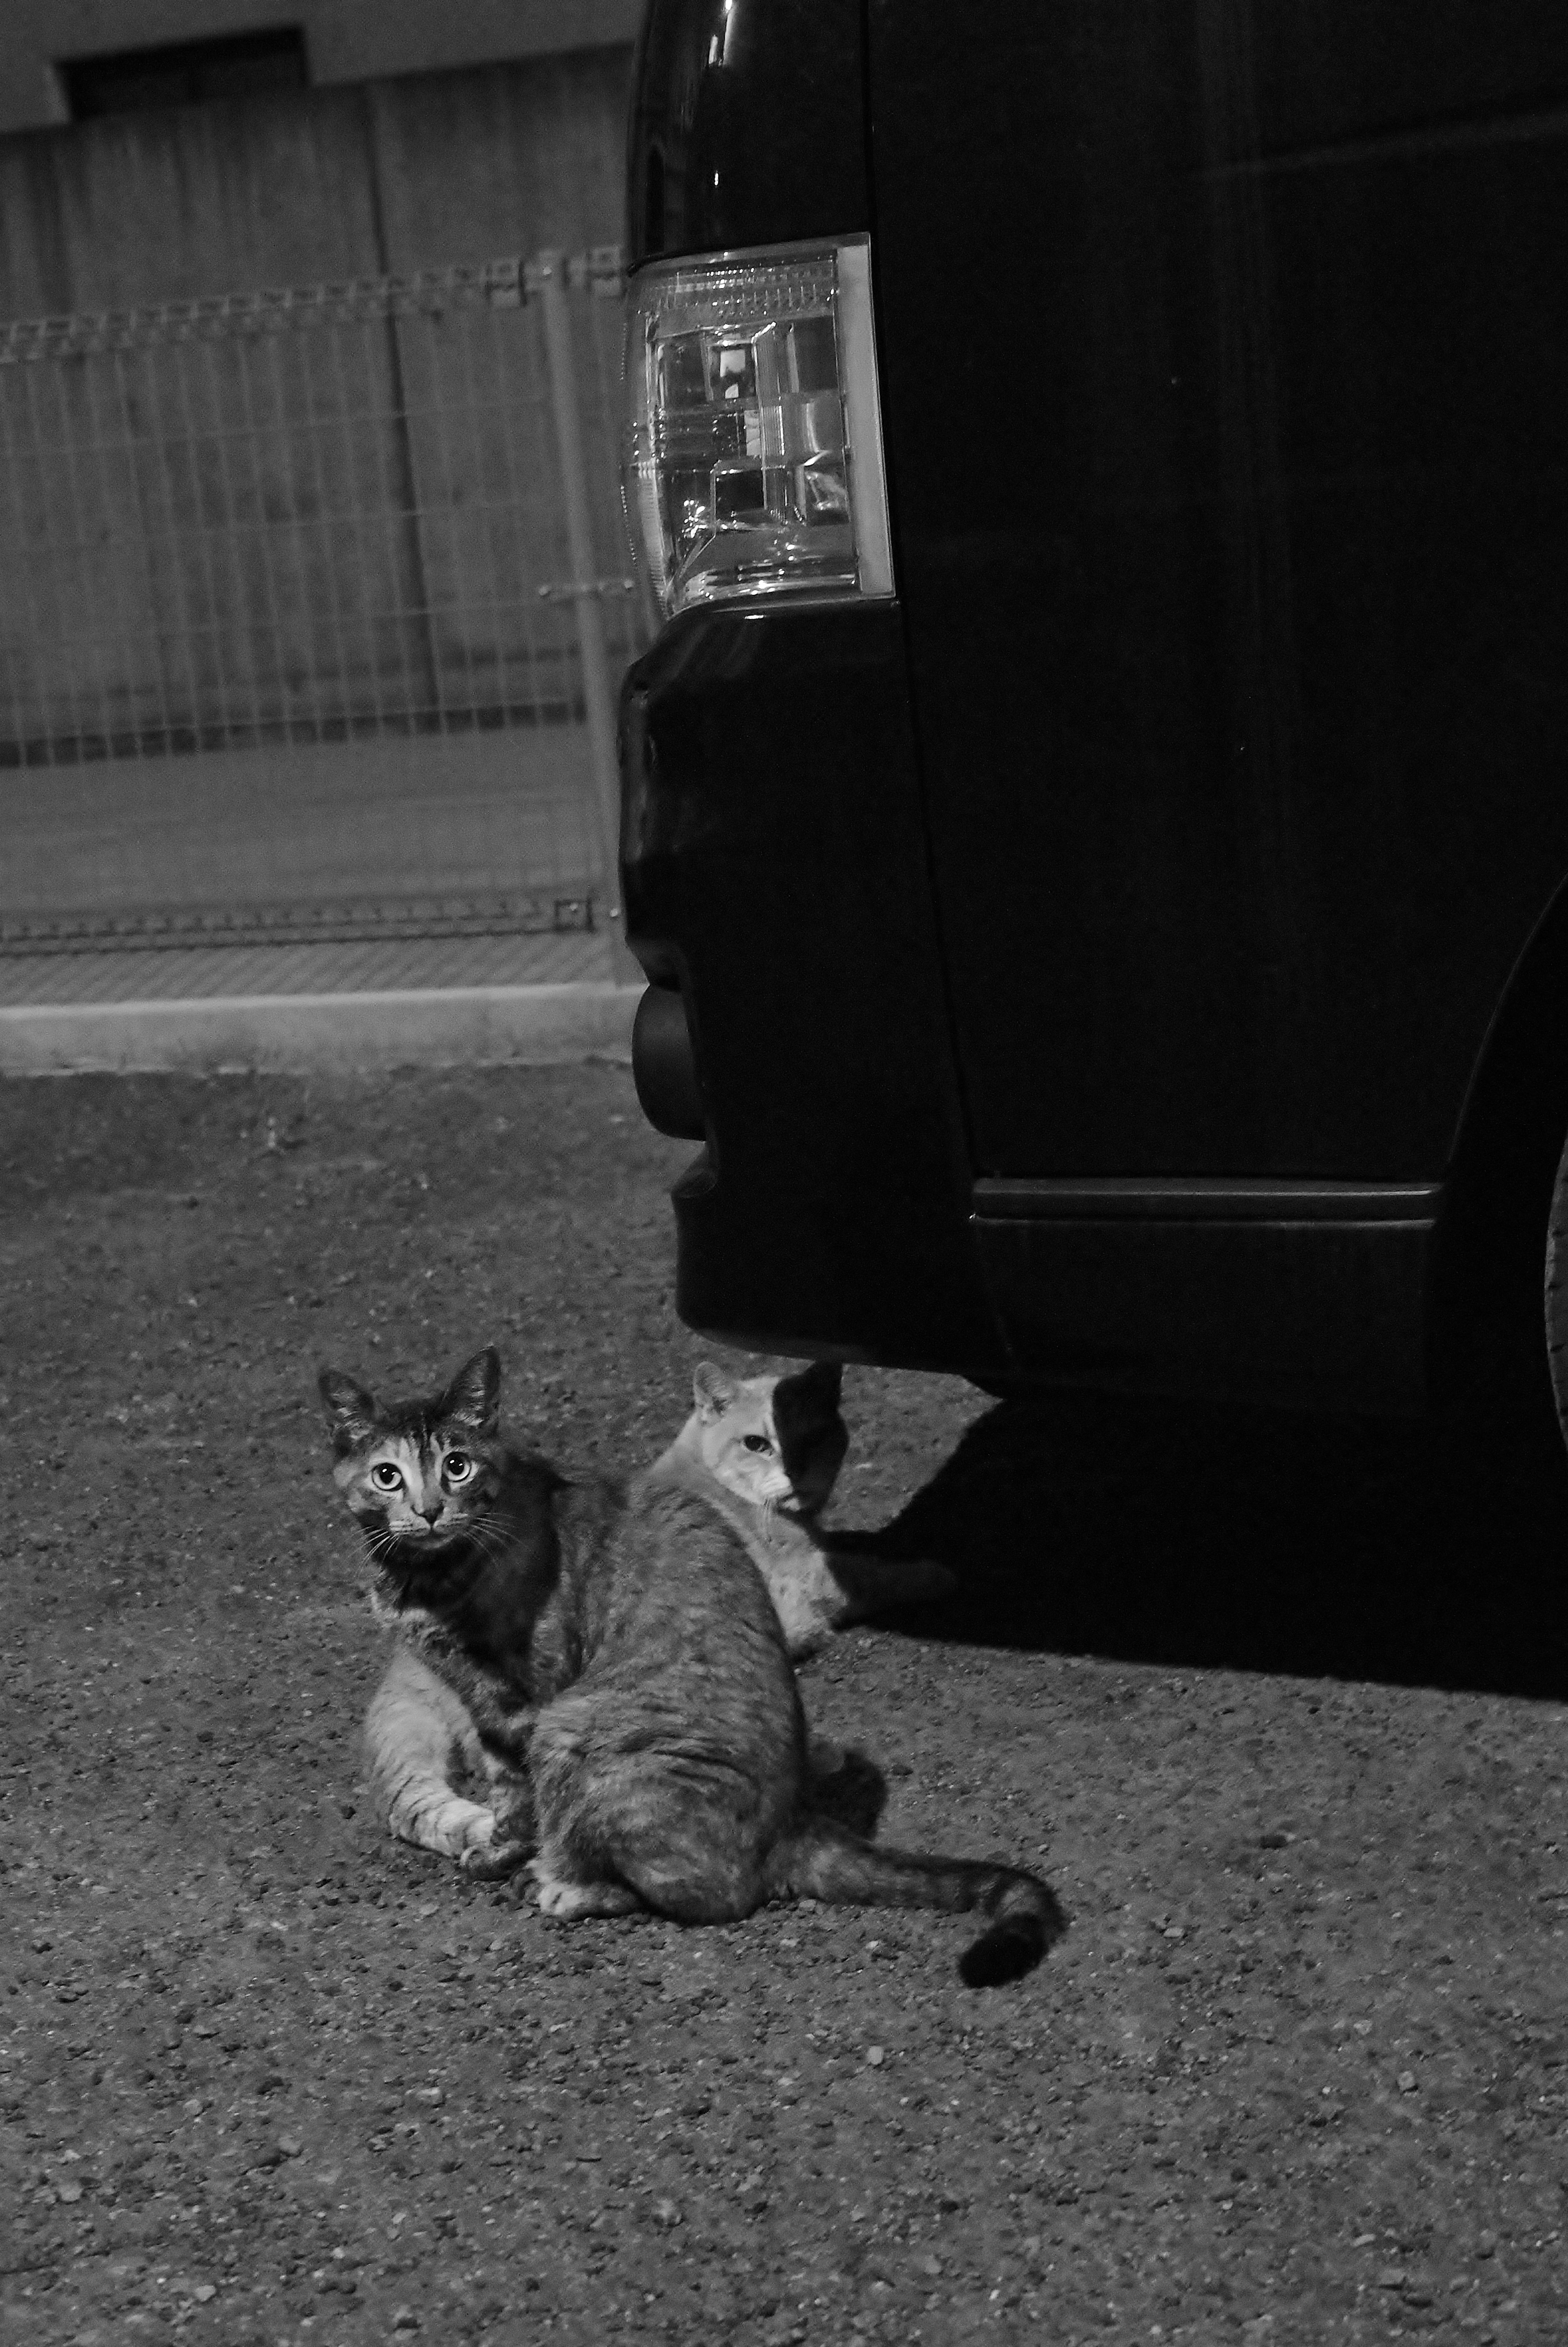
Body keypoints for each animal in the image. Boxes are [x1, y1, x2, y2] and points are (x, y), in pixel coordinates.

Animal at [340, 1352, 958, 1859]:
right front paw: (945, 1569)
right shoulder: (811, 1580)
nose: (798, 1474)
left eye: (816, 1436)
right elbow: (877, 1570)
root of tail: (401, 1670)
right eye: (758, 1443)